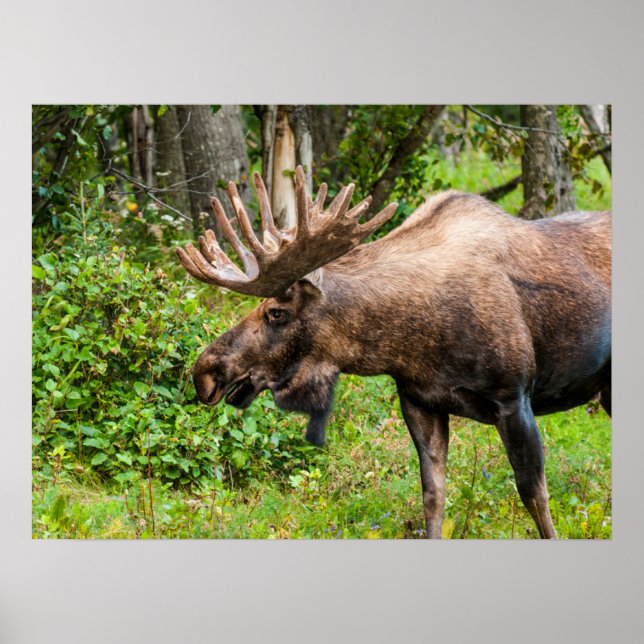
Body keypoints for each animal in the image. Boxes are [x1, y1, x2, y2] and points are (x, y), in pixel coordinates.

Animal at [176, 166, 611, 539]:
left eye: (276, 312)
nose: (205, 371)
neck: (407, 343)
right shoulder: (419, 401)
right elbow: (433, 496)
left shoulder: (514, 397)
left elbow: (534, 495)